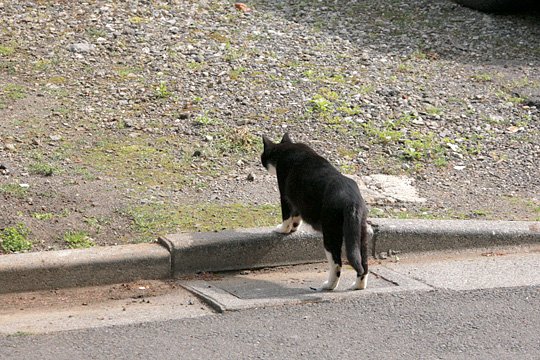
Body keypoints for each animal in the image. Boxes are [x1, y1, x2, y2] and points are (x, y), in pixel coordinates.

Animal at [260, 134, 372, 292]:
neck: (287, 148)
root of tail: (352, 202)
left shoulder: (285, 192)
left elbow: (287, 215)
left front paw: (282, 229)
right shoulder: (299, 198)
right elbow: (296, 214)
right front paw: (294, 227)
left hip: (331, 234)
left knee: (337, 264)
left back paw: (328, 286)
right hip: (361, 233)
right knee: (363, 263)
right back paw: (358, 286)